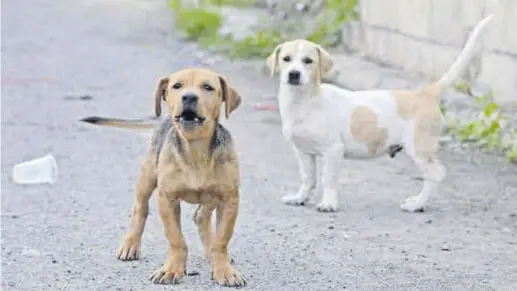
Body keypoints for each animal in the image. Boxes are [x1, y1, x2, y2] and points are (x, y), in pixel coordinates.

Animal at [81, 68, 246, 288]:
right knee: (140, 208)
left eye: (208, 87)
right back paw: (130, 245)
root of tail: (165, 118)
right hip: (147, 177)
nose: (189, 97)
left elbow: (221, 241)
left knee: (200, 216)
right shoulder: (167, 198)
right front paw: (172, 269)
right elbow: (176, 238)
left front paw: (224, 270)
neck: (196, 150)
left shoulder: (229, 199)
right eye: (177, 86)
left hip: (213, 195)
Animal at [268, 14, 494, 213]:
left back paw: (417, 204)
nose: (294, 74)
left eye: (308, 61)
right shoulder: (303, 152)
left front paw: (328, 204)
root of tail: (425, 93)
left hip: (419, 148)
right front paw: (300, 198)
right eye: (286, 59)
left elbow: (328, 180)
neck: (304, 102)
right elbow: (308, 178)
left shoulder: (333, 150)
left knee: (435, 175)